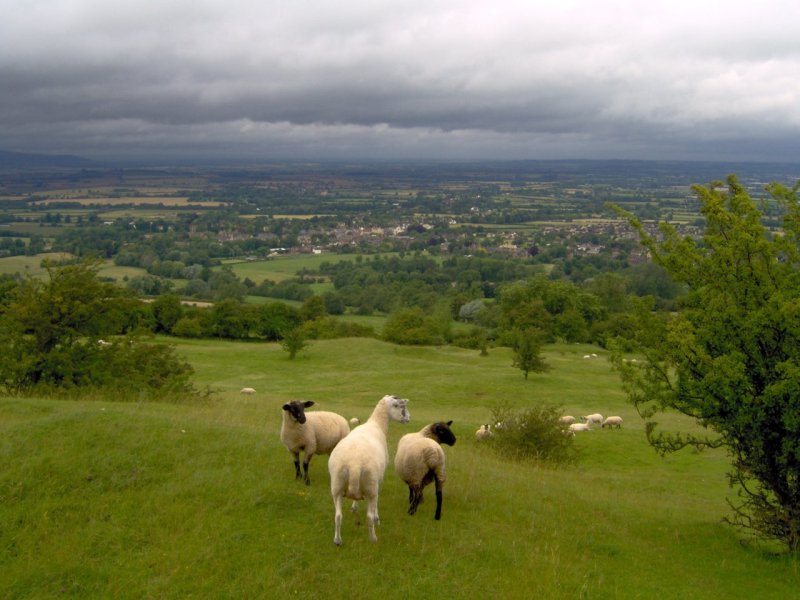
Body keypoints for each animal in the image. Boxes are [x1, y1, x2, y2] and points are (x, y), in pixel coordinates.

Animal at [328, 392, 412, 548]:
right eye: (400, 406)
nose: (408, 418)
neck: (377, 424)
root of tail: (354, 464)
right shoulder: (379, 480)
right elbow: (376, 504)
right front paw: (377, 519)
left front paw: (354, 507)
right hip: (370, 484)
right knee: (369, 516)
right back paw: (373, 538)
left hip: (336, 486)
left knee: (338, 516)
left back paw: (337, 540)